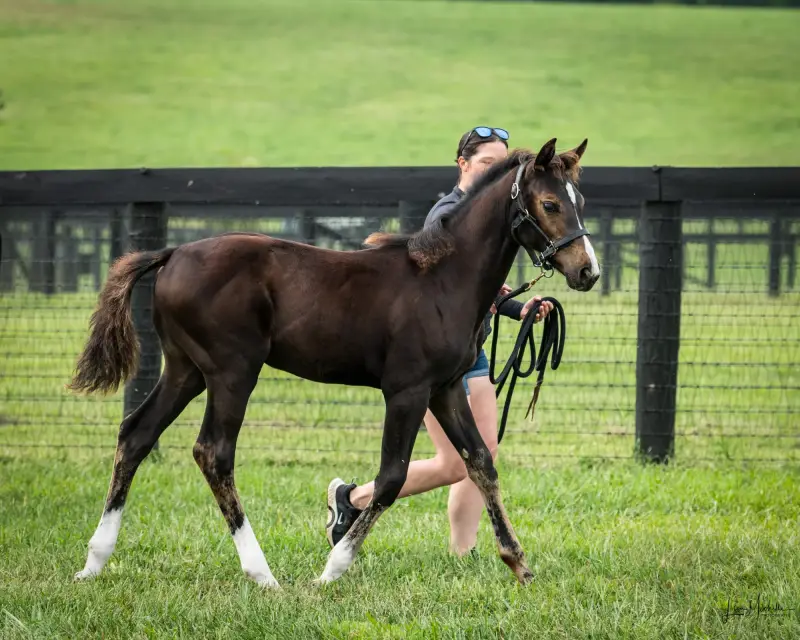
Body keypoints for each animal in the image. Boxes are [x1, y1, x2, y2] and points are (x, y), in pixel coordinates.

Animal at [68, 138, 600, 588]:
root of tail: (173, 252)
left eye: (581, 201)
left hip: (185, 370)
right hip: (232, 372)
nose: (587, 271)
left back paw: (94, 561)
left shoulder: (447, 388)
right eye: (550, 204)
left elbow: (481, 462)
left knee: (136, 434)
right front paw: (333, 568)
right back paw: (262, 574)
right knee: (213, 453)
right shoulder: (406, 390)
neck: (444, 280)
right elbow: (391, 477)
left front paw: (518, 562)